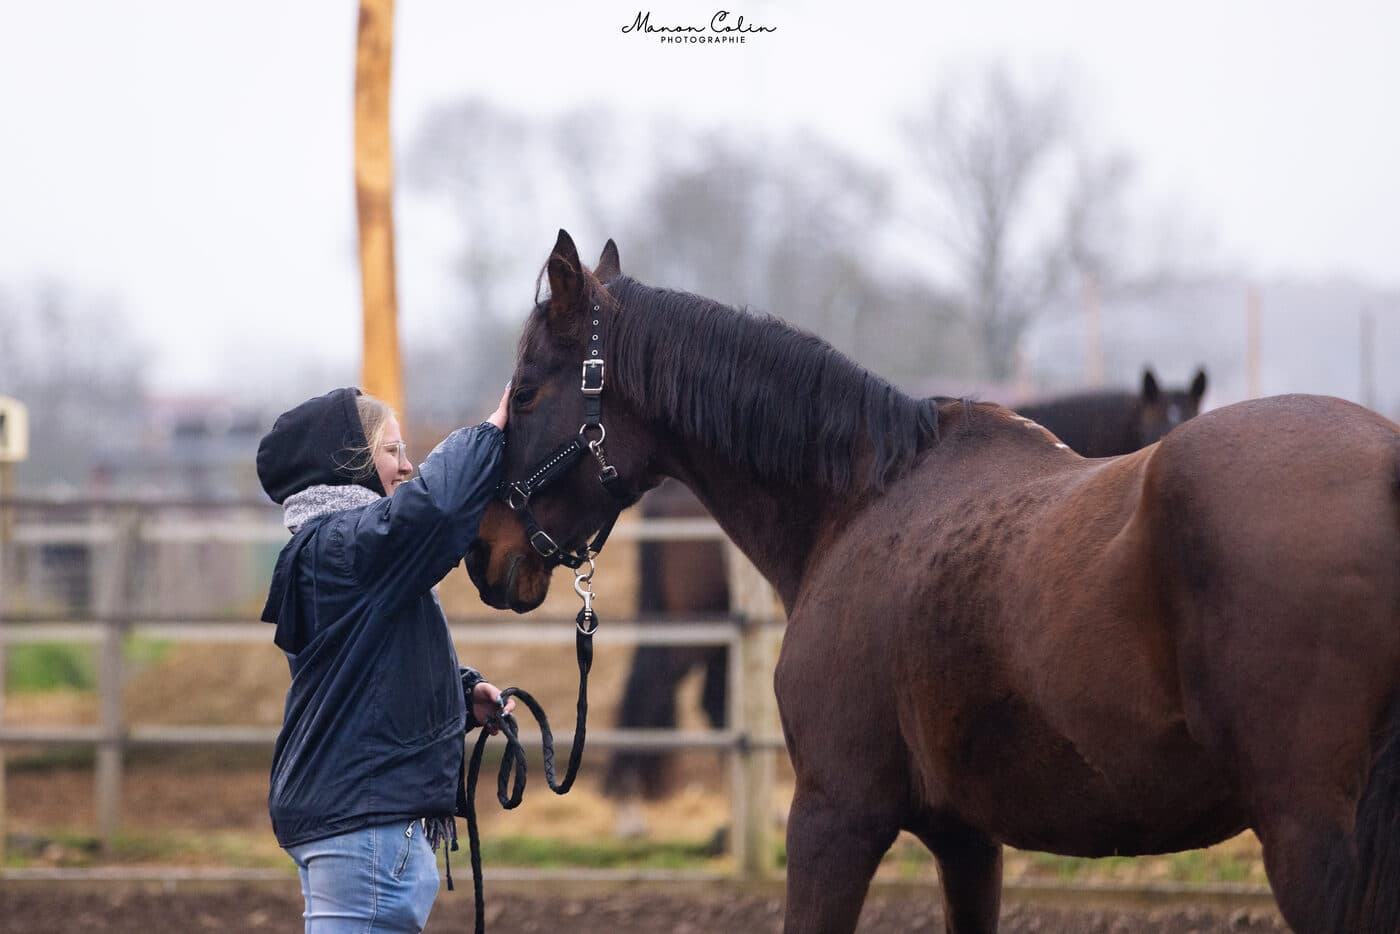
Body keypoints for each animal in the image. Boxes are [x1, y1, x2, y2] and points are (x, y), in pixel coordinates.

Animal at [465, 231, 1400, 934]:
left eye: (525, 389)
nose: (482, 551)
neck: (861, 499)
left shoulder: (835, 816)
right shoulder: (966, 838)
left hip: (1306, 835)